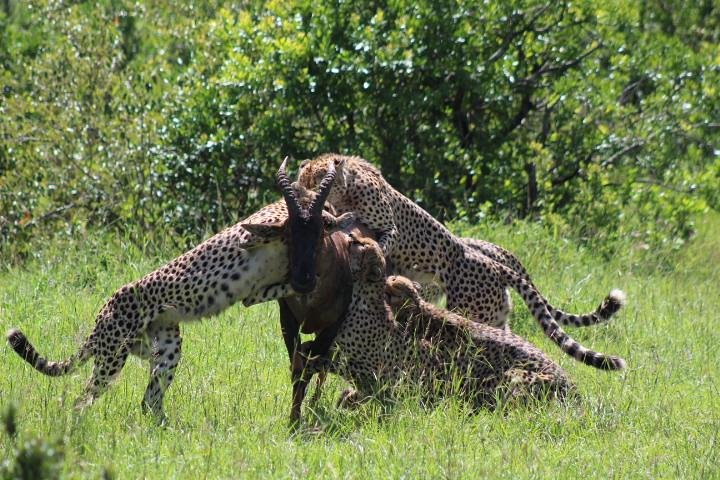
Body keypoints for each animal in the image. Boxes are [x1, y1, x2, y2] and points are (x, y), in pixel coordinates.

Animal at [296, 154, 627, 369]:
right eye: (303, 181)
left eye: (318, 180)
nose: (307, 199)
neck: (347, 190)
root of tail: (498, 265)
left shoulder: (389, 228)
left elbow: (380, 241)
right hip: (495, 317)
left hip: (471, 312)